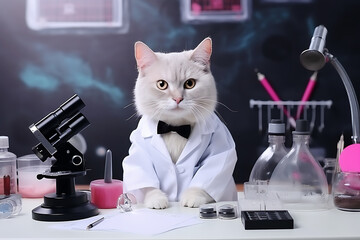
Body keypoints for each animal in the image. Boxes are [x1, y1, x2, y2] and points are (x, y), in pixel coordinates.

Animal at [122, 37, 238, 208]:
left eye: (190, 84)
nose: (177, 99)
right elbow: (146, 180)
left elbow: (207, 175)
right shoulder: (138, 150)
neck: (175, 128)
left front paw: (192, 198)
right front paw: (156, 199)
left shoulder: (220, 145)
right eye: (161, 84)